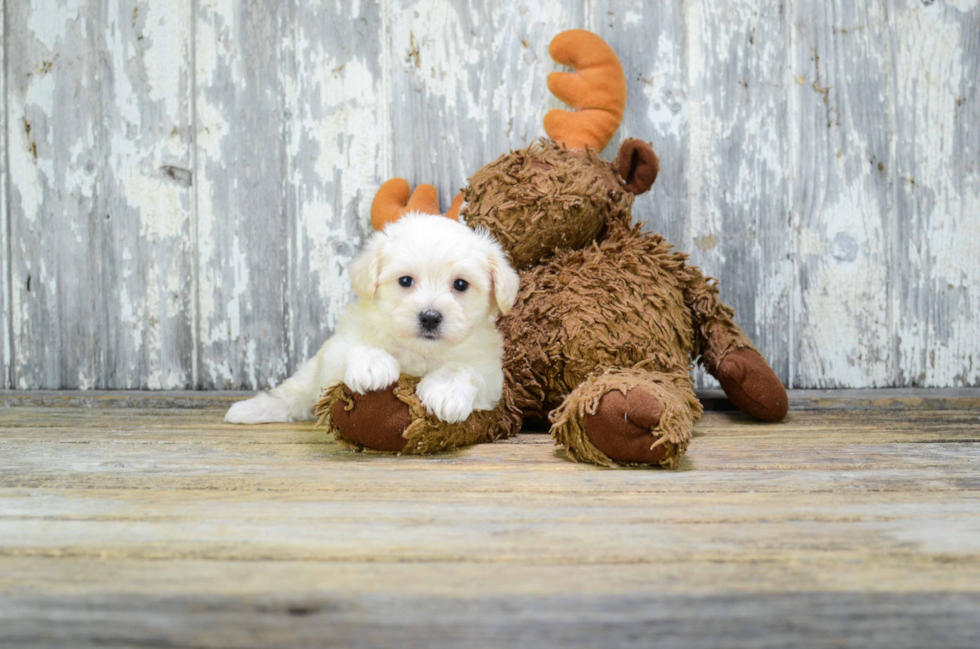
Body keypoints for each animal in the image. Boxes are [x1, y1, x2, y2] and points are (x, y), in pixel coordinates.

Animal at [223, 213, 520, 426]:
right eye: (405, 281)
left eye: (460, 284)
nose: (430, 317)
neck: (420, 351)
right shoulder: (336, 351)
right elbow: (354, 349)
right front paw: (372, 365)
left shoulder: (491, 378)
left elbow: (463, 369)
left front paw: (445, 390)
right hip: (309, 375)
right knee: (294, 393)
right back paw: (249, 409)